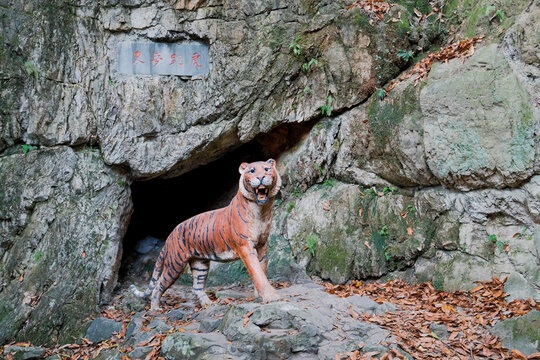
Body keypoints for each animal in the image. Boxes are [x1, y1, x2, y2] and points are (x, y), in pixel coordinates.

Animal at [131, 159, 282, 308]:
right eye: (252, 170)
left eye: (267, 169)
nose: (261, 177)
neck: (261, 210)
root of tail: (170, 236)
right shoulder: (245, 245)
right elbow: (257, 272)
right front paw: (271, 297)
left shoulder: (262, 244)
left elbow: (262, 268)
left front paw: (260, 295)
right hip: (174, 264)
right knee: (159, 286)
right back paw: (155, 309)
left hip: (200, 264)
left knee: (196, 288)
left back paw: (209, 304)